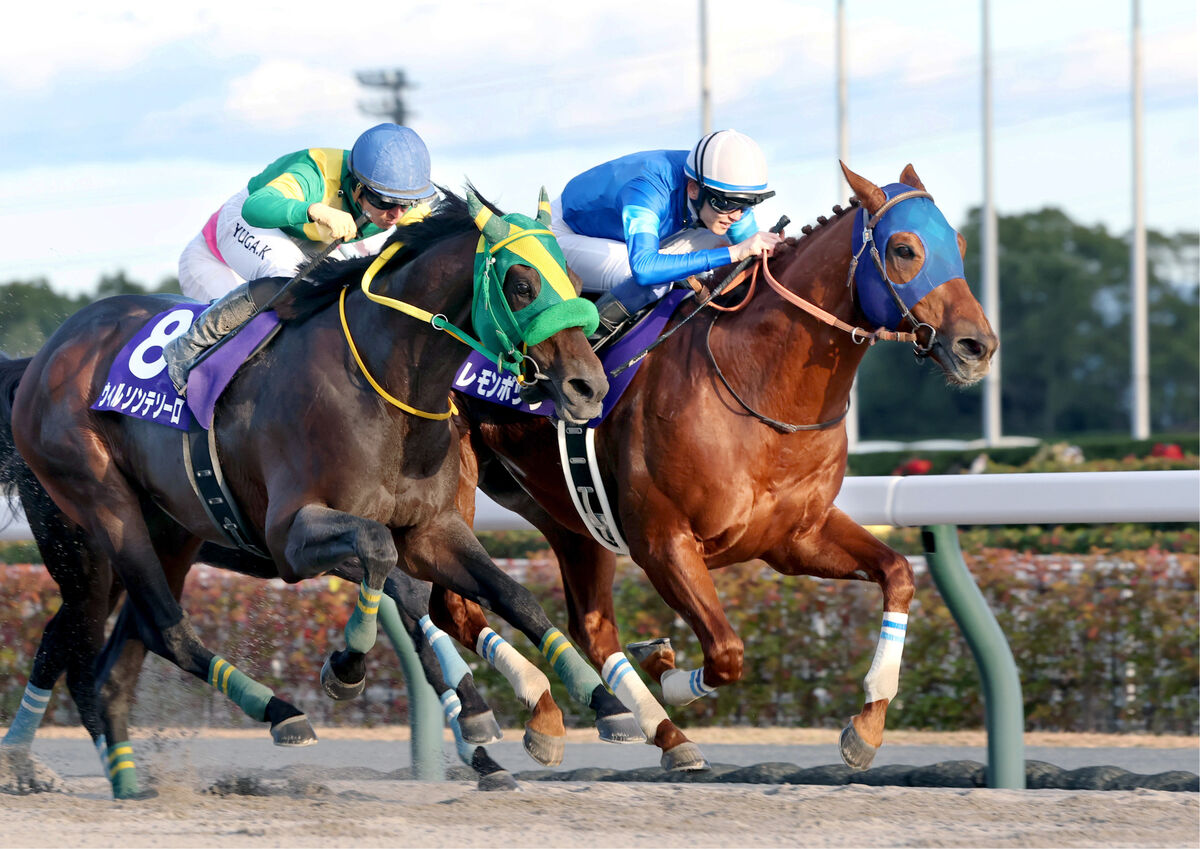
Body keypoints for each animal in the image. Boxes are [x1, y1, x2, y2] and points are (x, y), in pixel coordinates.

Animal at [4, 187, 648, 796]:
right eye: (520, 283)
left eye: (575, 280)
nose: (589, 387)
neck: (385, 385)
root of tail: (44, 355)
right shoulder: (292, 538)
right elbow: (389, 570)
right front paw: (355, 670)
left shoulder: (431, 530)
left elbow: (513, 596)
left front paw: (599, 705)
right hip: (99, 519)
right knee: (153, 629)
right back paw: (277, 713)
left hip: (171, 535)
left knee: (116, 660)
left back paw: (128, 783)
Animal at [436, 164, 998, 767]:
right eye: (904, 248)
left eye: (960, 244)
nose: (978, 346)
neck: (760, 389)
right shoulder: (663, 542)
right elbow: (727, 652)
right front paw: (666, 667)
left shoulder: (796, 538)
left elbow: (898, 574)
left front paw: (866, 726)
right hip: (452, 493)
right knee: (454, 606)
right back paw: (507, 714)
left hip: (562, 508)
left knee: (588, 623)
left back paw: (649, 728)